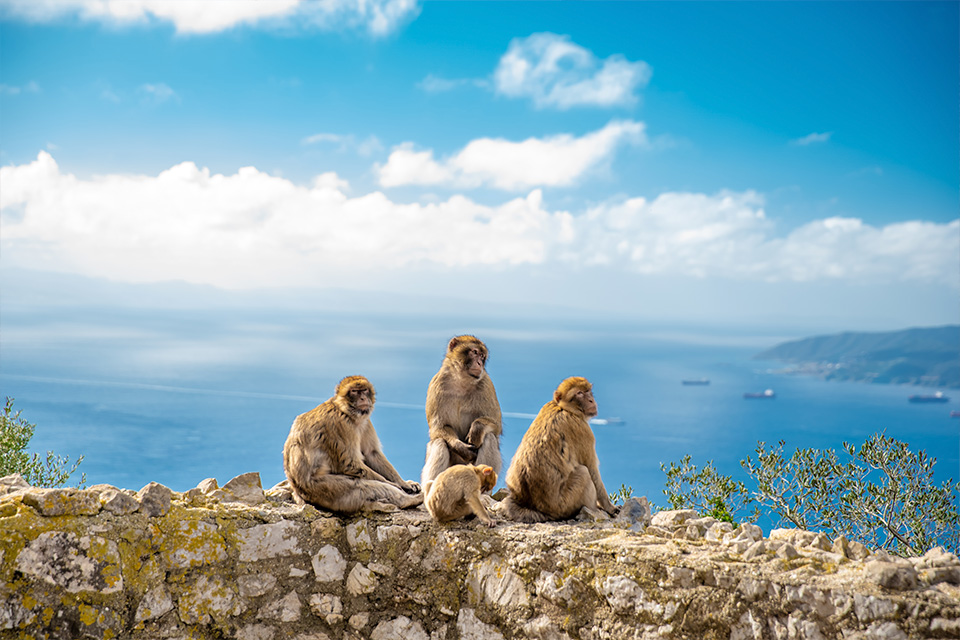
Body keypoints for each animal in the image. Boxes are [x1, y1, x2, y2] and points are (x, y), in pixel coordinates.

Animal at [284, 376, 422, 516]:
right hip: (323, 489)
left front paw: (404, 484)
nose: (363, 398)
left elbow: (371, 453)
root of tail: (297, 489)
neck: (345, 411)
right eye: (354, 391)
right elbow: (350, 463)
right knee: (362, 486)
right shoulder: (340, 424)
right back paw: (410, 500)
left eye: (364, 390)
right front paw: (395, 485)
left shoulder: (366, 422)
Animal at [424, 338, 506, 498]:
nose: (479, 363)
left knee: (489, 438)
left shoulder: (486, 384)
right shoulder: (436, 385)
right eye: (475, 352)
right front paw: (460, 447)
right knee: (439, 442)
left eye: (482, 357)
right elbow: (438, 428)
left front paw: (477, 429)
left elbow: (496, 425)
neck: (461, 381)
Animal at [502, 378, 616, 524]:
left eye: (588, 391)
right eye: (579, 393)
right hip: (566, 503)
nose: (591, 400)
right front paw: (609, 507)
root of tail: (536, 508)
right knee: (584, 472)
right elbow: (592, 470)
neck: (565, 408)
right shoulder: (583, 430)